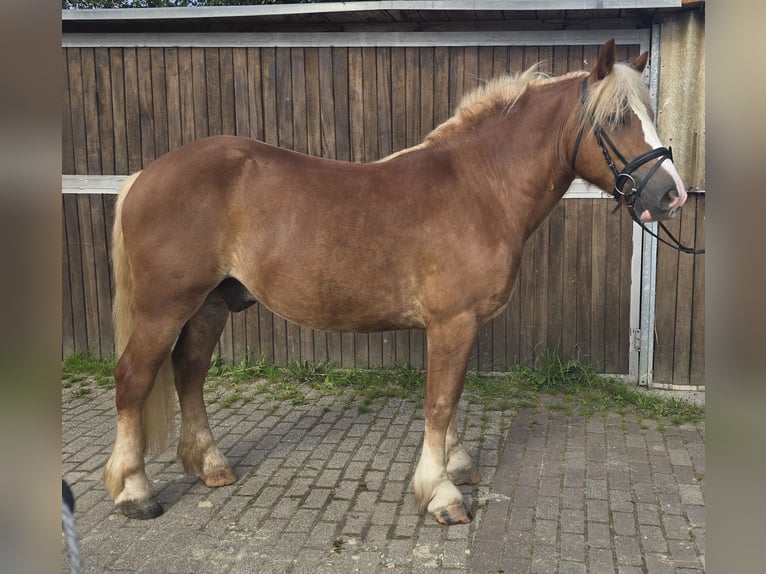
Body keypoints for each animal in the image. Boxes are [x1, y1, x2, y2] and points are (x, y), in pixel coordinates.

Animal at [103, 40, 688, 528]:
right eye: (617, 118)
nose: (672, 195)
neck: (480, 187)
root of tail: (144, 176)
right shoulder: (451, 323)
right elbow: (440, 402)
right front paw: (441, 494)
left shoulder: (461, 325)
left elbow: (453, 396)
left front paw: (457, 464)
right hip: (163, 309)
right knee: (133, 379)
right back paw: (134, 492)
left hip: (210, 304)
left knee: (189, 372)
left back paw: (210, 465)